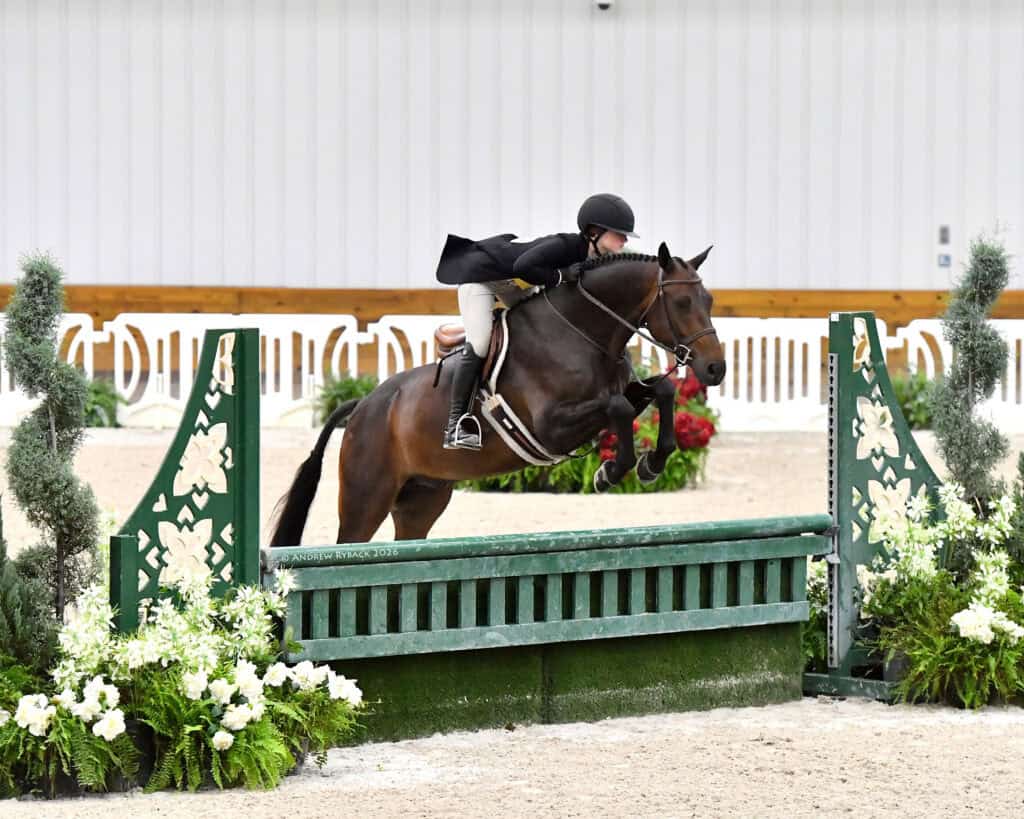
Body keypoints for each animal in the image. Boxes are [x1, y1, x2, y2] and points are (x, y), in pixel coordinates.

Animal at [270, 241, 726, 546]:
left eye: (708, 299)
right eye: (681, 302)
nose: (714, 368)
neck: (584, 331)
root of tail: (363, 405)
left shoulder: (620, 394)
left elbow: (661, 390)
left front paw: (651, 463)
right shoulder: (549, 426)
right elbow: (618, 408)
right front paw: (611, 471)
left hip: (422, 498)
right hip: (366, 498)